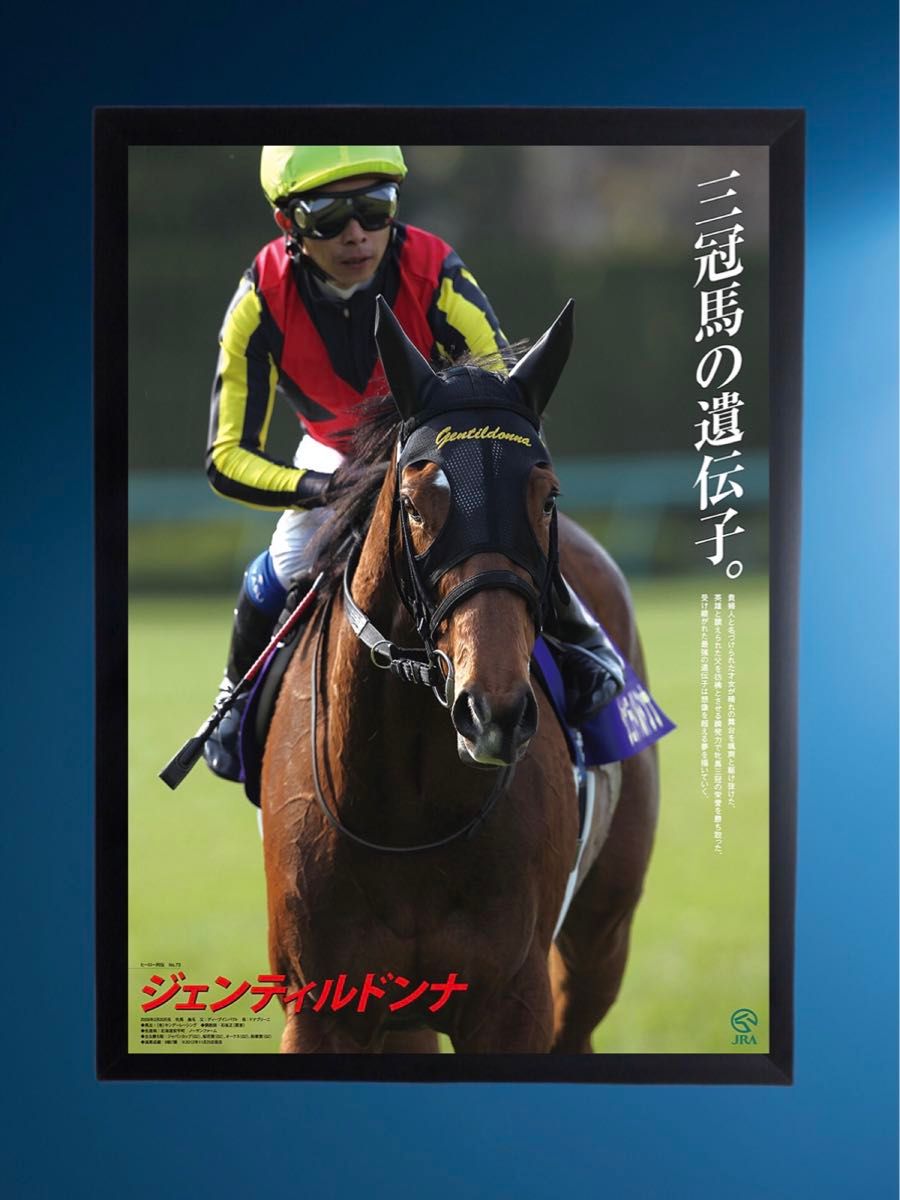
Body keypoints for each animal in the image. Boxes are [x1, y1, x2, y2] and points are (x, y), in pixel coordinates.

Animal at [259, 298, 660, 1053]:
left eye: (547, 496)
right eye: (416, 505)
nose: (493, 712)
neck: (406, 814)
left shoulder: (515, 1001)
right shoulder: (324, 1003)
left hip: (602, 936)